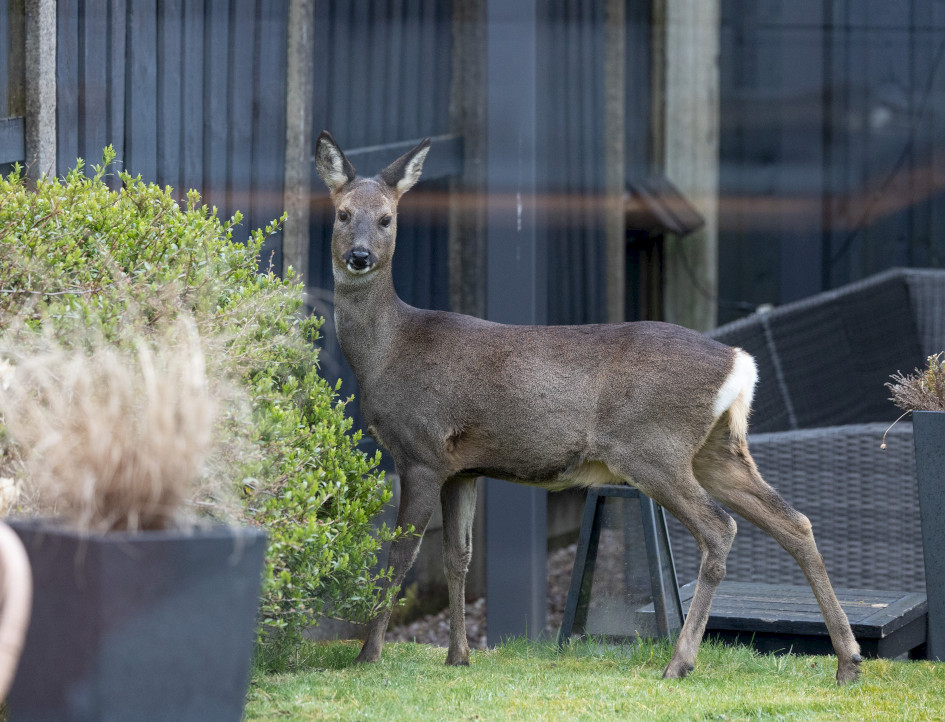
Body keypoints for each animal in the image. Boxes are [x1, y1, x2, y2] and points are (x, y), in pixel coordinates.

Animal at [314, 130, 863, 685]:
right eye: (342, 213)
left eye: (387, 218)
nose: (359, 255)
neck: (389, 351)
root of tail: (739, 363)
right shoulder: (462, 467)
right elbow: (457, 557)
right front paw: (459, 656)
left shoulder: (420, 451)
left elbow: (398, 557)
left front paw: (367, 656)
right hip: (715, 449)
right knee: (794, 521)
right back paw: (848, 660)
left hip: (652, 447)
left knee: (720, 528)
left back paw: (680, 661)